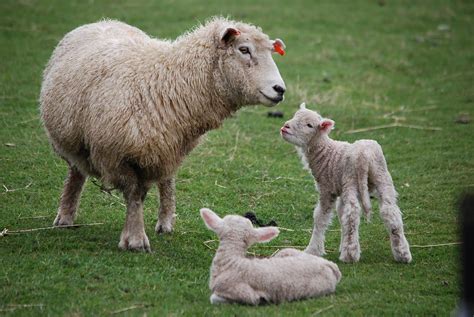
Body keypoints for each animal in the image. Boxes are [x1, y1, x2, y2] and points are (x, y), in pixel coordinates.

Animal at [39, 18, 286, 252]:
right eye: (244, 49)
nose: (280, 89)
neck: (168, 81)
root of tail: (102, 21)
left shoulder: (159, 150)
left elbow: (142, 193)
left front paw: (136, 234)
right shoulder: (117, 155)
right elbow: (134, 195)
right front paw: (136, 239)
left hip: (169, 146)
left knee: (167, 180)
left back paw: (166, 221)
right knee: (76, 171)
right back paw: (65, 216)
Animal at [282, 103, 412, 262]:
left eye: (309, 125)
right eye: (295, 116)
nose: (285, 127)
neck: (325, 151)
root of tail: (365, 155)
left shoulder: (327, 189)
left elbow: (321, 217)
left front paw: (313, 250)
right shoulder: (340, 189)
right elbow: (340, 212)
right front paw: (342, 244)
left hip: (351, 179)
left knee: (353, 213)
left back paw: (349, 255)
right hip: (382, 178)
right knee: (390, 211)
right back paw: (402, 253)